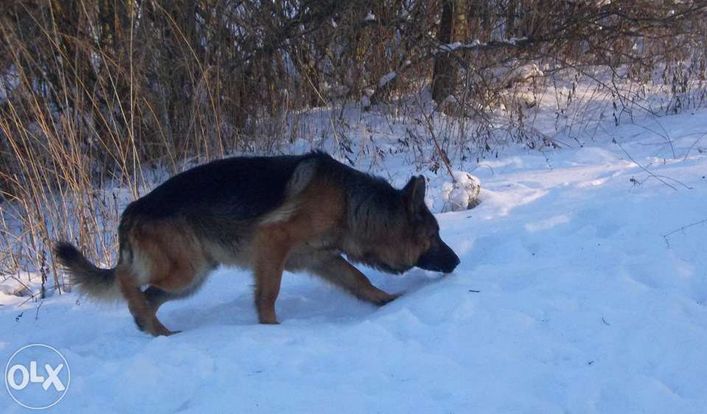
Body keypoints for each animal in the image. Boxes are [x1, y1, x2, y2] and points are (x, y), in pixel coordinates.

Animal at [56, 153, 464, 336]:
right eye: (433, 236)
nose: (458, 262)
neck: (350, 204)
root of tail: (130, 211)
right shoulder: (273, 245)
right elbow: (268, 294)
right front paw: (270, 329)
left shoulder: (322, 259)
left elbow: (359, 280)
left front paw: (387, 301)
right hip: (185, 270)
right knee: (126, 279)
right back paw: (151, 324)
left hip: (191, 280)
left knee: (147, 298)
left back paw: (154, 329)